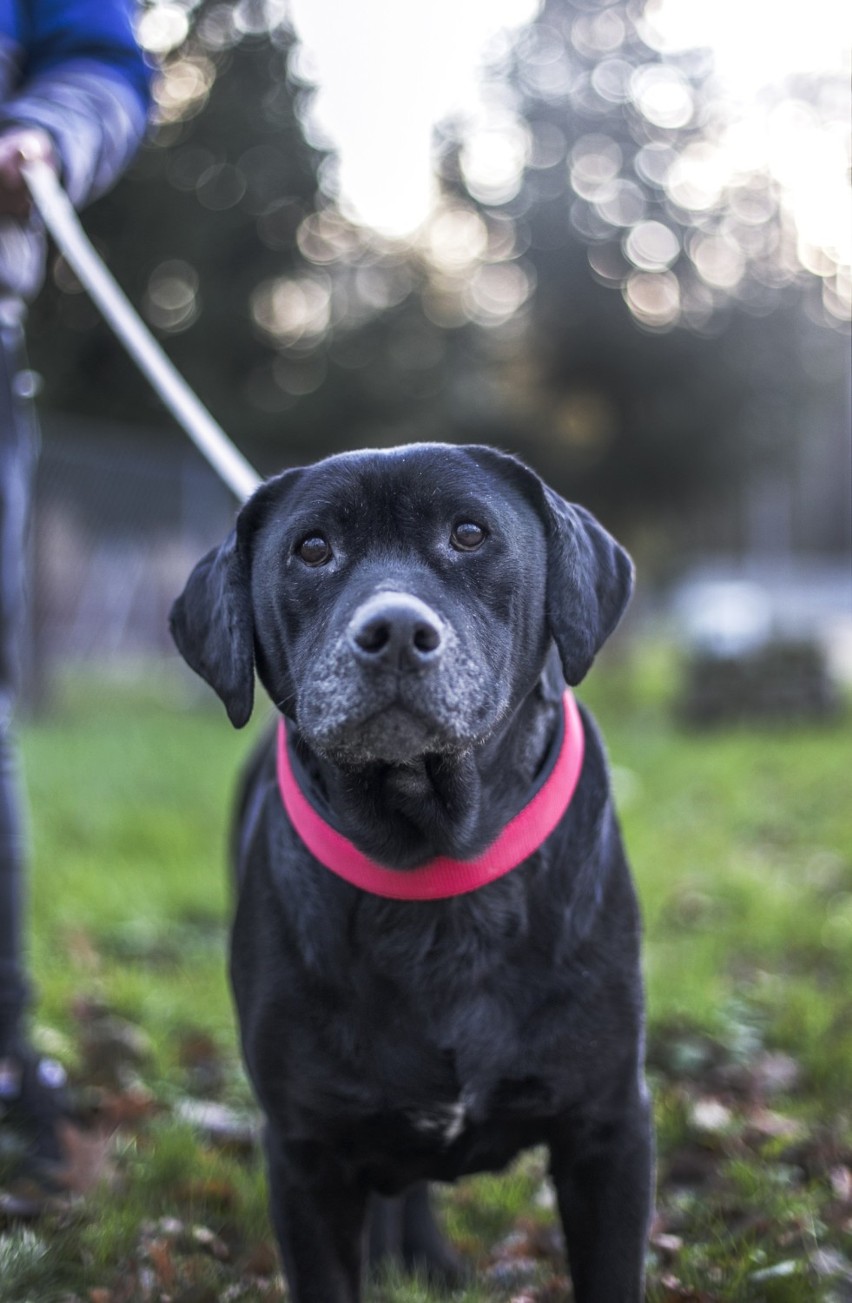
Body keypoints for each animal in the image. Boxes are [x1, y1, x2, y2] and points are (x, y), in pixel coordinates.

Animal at [170, 448, 656, 1303]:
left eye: (469, 533)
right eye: (313, 548)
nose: (395, 630)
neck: (433, 865)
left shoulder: (610, 1130)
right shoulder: (306, 1153)